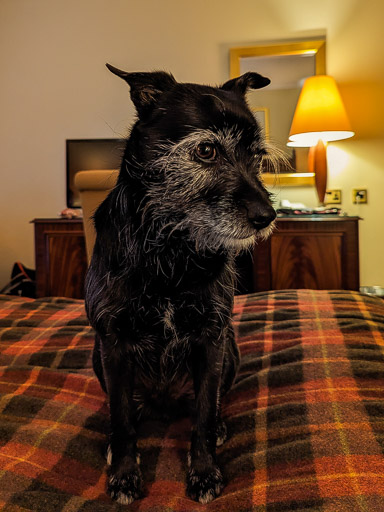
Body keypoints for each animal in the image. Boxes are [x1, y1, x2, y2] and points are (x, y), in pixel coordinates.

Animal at [85, 66, 276, 506]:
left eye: (257, 157)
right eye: (206, 150)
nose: (268, 216)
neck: (170, 251)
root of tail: (163, 403)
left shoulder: (212, 339)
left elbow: (203, 416)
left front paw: (204, 473)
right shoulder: (113, 342)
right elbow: (122, 420)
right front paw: (124, 475)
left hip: (231, 350)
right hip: (97, 357)